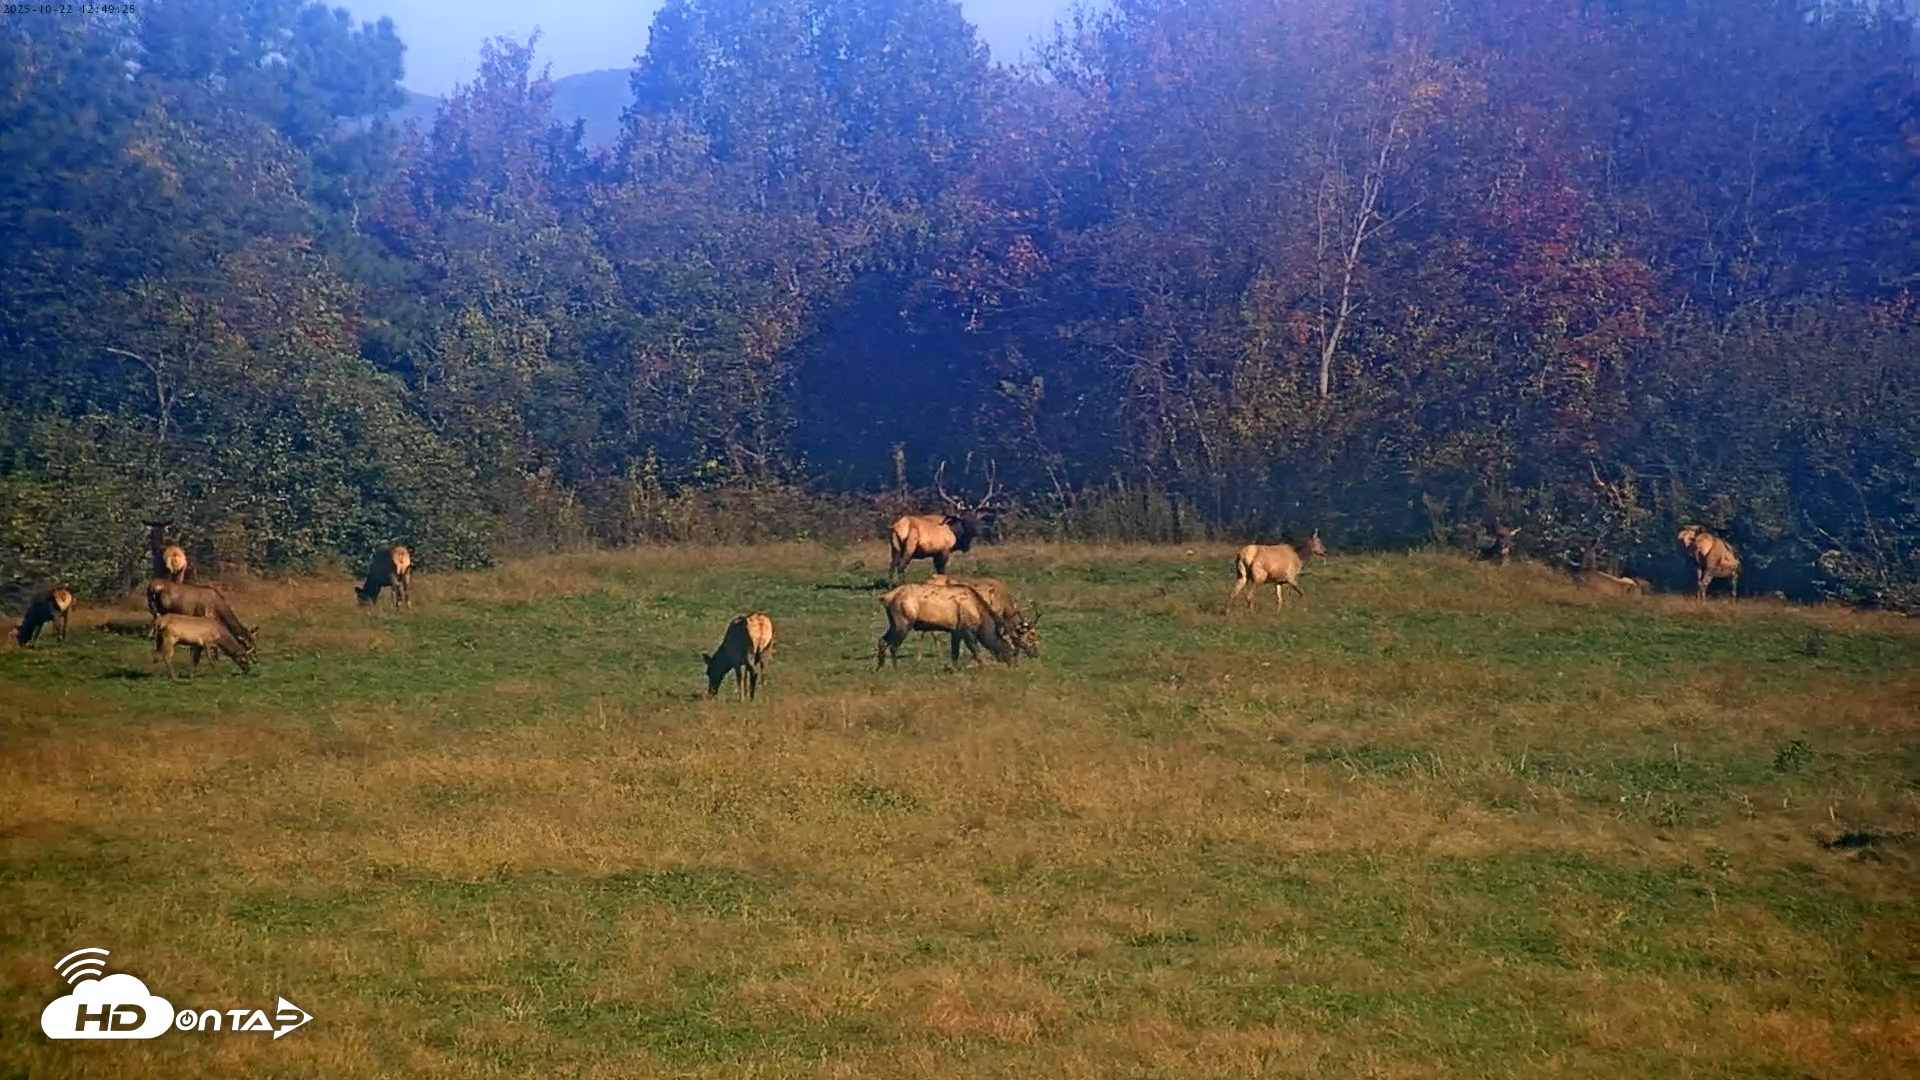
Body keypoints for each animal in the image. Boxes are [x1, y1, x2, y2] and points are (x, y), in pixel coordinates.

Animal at [876, 581, 1019, 670]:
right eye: (1010, 649)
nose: (1014, 665)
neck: (981, 617)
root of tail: (886, 597)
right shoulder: (966, 630)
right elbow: (975, 650)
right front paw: (983, 666)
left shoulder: (955, 631)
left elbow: (955, 653)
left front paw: (955, 668)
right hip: (903, 622)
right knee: (893, 646)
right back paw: (896, 668)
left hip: (893, 623)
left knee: (882, 640)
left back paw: (880, 667)